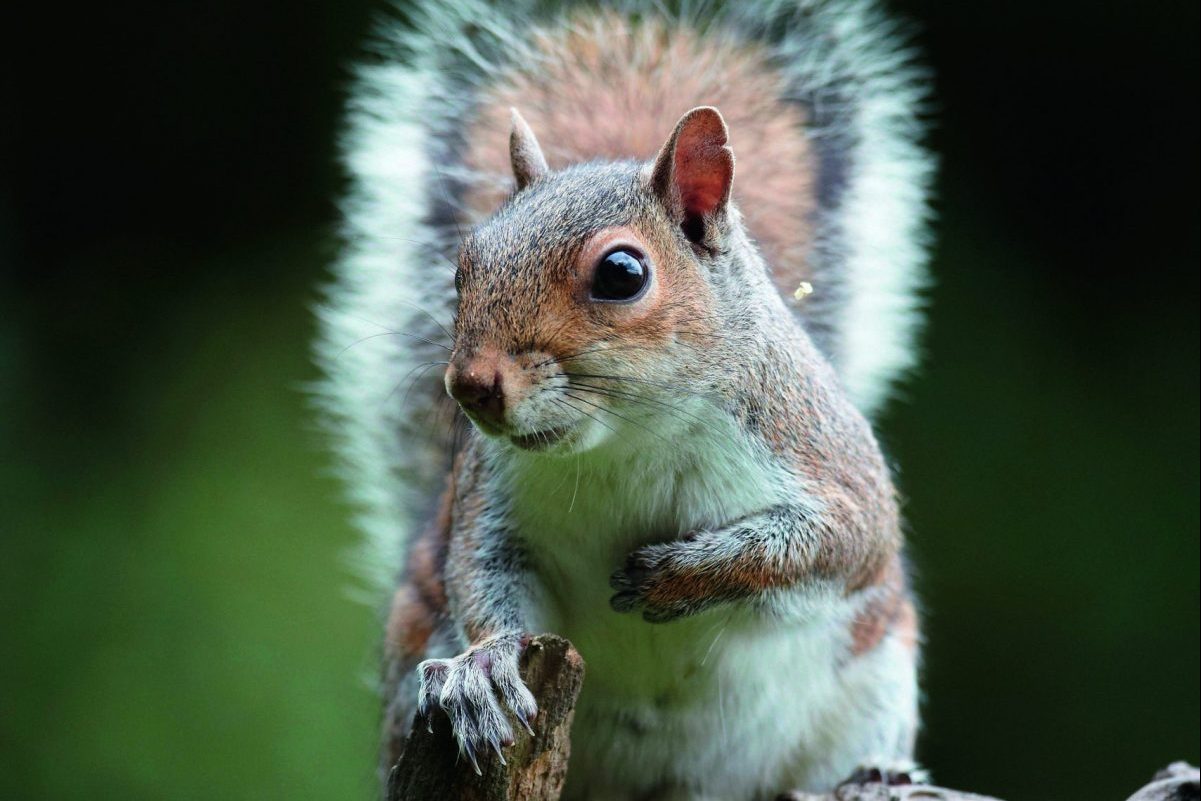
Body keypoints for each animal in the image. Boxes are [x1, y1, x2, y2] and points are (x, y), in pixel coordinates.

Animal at [316, 0, 934, 798]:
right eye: (463, 266)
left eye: (621, 273)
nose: (470, 385)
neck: (631, 435)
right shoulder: (490, 500)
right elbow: (482, 579)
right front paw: (485, 666)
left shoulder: (822, 457)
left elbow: (839, 540)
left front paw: (686, 574)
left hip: (877, 671)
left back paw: (875, 772)